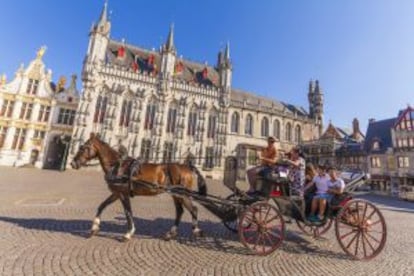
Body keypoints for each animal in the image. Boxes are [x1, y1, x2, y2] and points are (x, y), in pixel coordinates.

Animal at [71, 134, 209, 242]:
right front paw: (94, 228)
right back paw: (170, 234)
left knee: (193, 209)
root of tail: (188, 166)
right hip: (176, 195)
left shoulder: (123, 194)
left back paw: (196, 231)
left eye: (83, 148)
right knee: (180, 211)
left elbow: (128, 212)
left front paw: (128, 234)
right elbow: (102, 206)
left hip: (182, 194)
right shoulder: (116, 193)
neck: (116, 166)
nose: (73, 163)